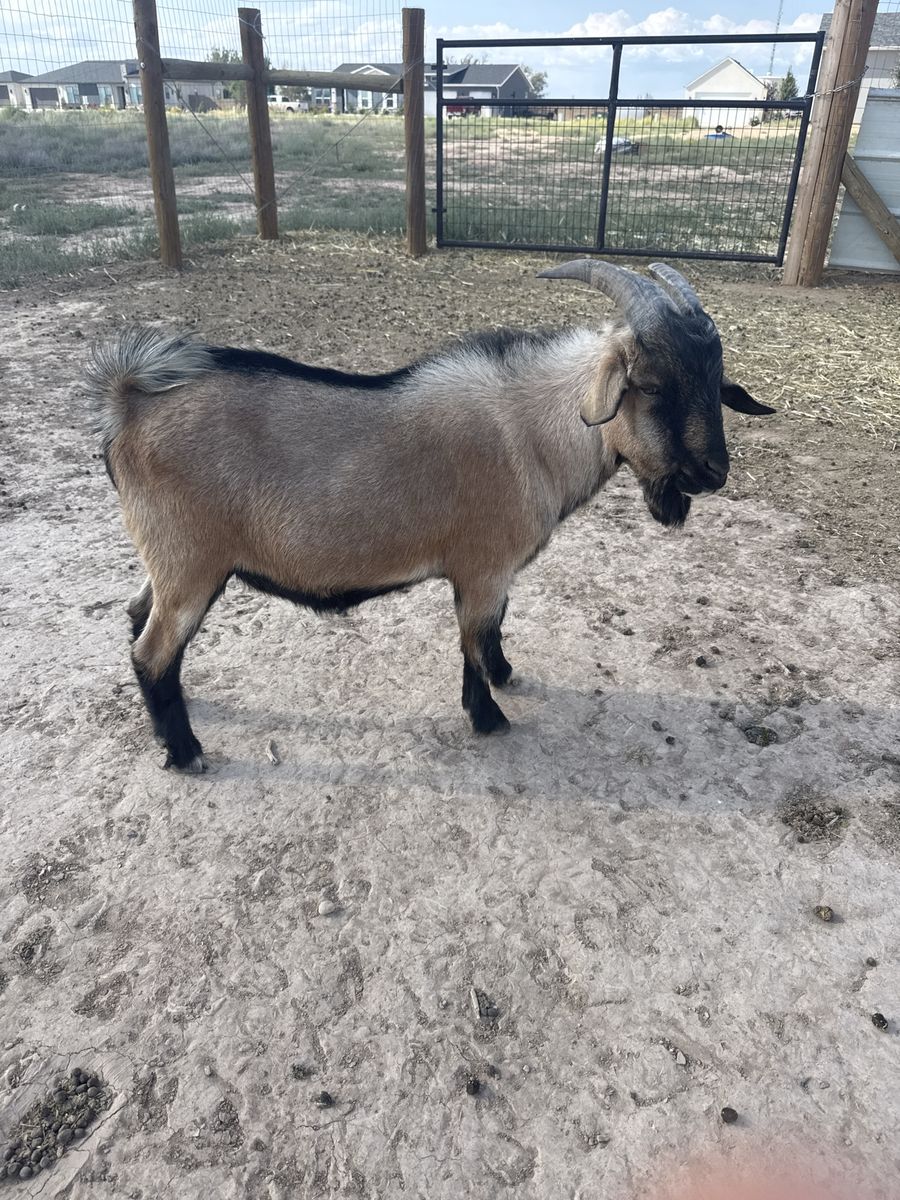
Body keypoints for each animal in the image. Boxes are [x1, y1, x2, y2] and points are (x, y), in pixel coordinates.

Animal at [87, 259, 773, 772]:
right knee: (152, 651)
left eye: (715, 384)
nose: (713, 471)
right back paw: (185, 752)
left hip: (169, 563)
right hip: (190, 565)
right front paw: (488, 717)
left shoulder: (494, 575)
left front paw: (505, 677)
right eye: (652, 386)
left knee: (136, 616)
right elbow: (473, 637)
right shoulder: (482, 568)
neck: (532, 432)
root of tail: (128, 403)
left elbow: (492, 634)